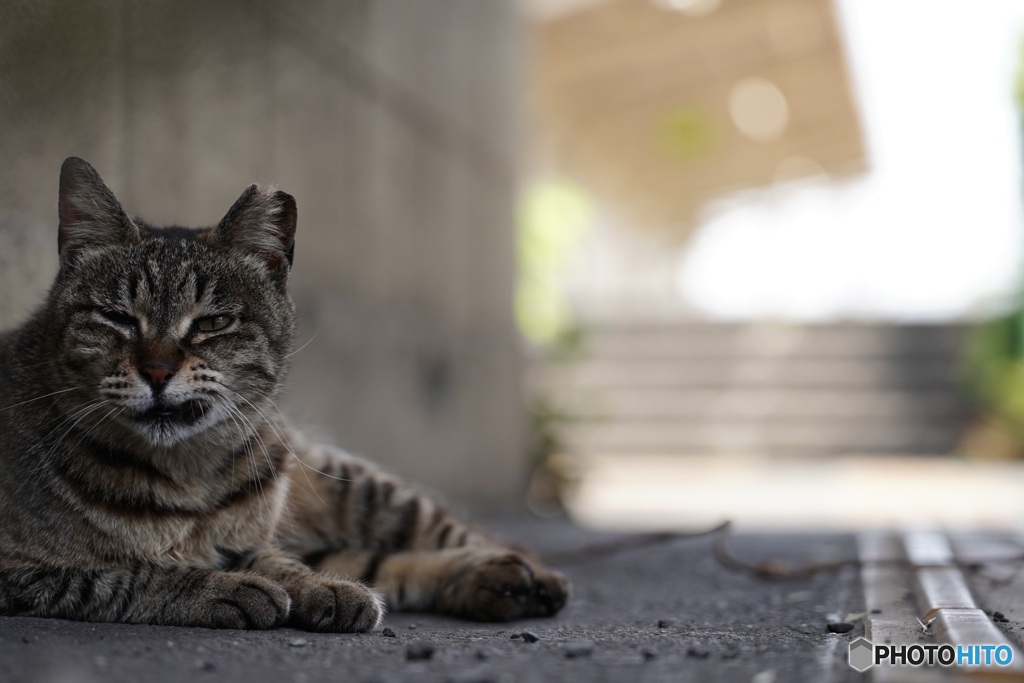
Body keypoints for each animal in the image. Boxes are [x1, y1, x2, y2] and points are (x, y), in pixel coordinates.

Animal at [0, 157, 569, 634]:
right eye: (116, 318)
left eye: (213, 323)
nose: (157, 370)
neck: (187, 475)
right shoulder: (24, 574)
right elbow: (133, 574)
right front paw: (229, 587)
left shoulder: (255, 539)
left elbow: (277, 563)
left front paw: (312, 588)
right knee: (377, 562)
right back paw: (492, 583)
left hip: (356, 486)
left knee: (455, 533)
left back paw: (524, 575)